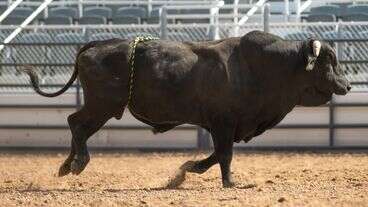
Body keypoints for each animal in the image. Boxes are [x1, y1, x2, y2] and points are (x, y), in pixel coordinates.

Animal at [25, 30, 350, 188]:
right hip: (102, 105)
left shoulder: (226, 126)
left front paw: (187, 169)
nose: (346, 85)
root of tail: (98, 44)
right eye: (328, 61)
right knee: (76, 124)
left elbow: (218, 154)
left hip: (101, 106)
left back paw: (66, 165)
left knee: (76, 125)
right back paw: (78, 162)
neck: (261, 66)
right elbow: (224, 154)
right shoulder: (223, 123)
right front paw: (229, 183)